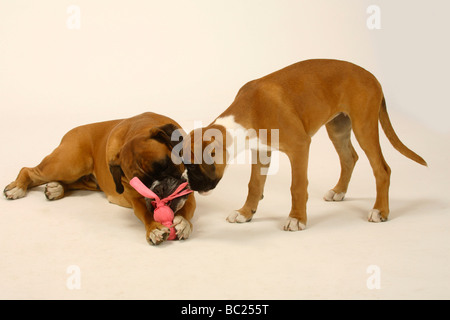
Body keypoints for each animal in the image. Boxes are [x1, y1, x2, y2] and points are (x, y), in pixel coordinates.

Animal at [3, 112, 197, 245]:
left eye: (165, 165)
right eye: (140, 185)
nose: (158, 189)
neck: (137, 129)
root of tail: (71, 132)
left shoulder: (188, 190)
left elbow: (187, 206)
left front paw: (183, 222)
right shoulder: (136, 199)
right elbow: (145, 213)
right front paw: (155, 228)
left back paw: (56, 188)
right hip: (68, 164)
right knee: (28, 170)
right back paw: (17, 187)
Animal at [182, 59, 426, 230]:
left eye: (193, 166)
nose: (189, 186)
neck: (251, 110)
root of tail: (373, 76)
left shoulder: (299, 147)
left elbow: (297, 186)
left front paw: (296, 218)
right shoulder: (261, 152)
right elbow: (254, 185)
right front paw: (246, 212)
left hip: (364, 127)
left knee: (382, 169)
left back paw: (380, 211)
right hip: (338, 128)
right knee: (349, 158)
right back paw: (339, 191)